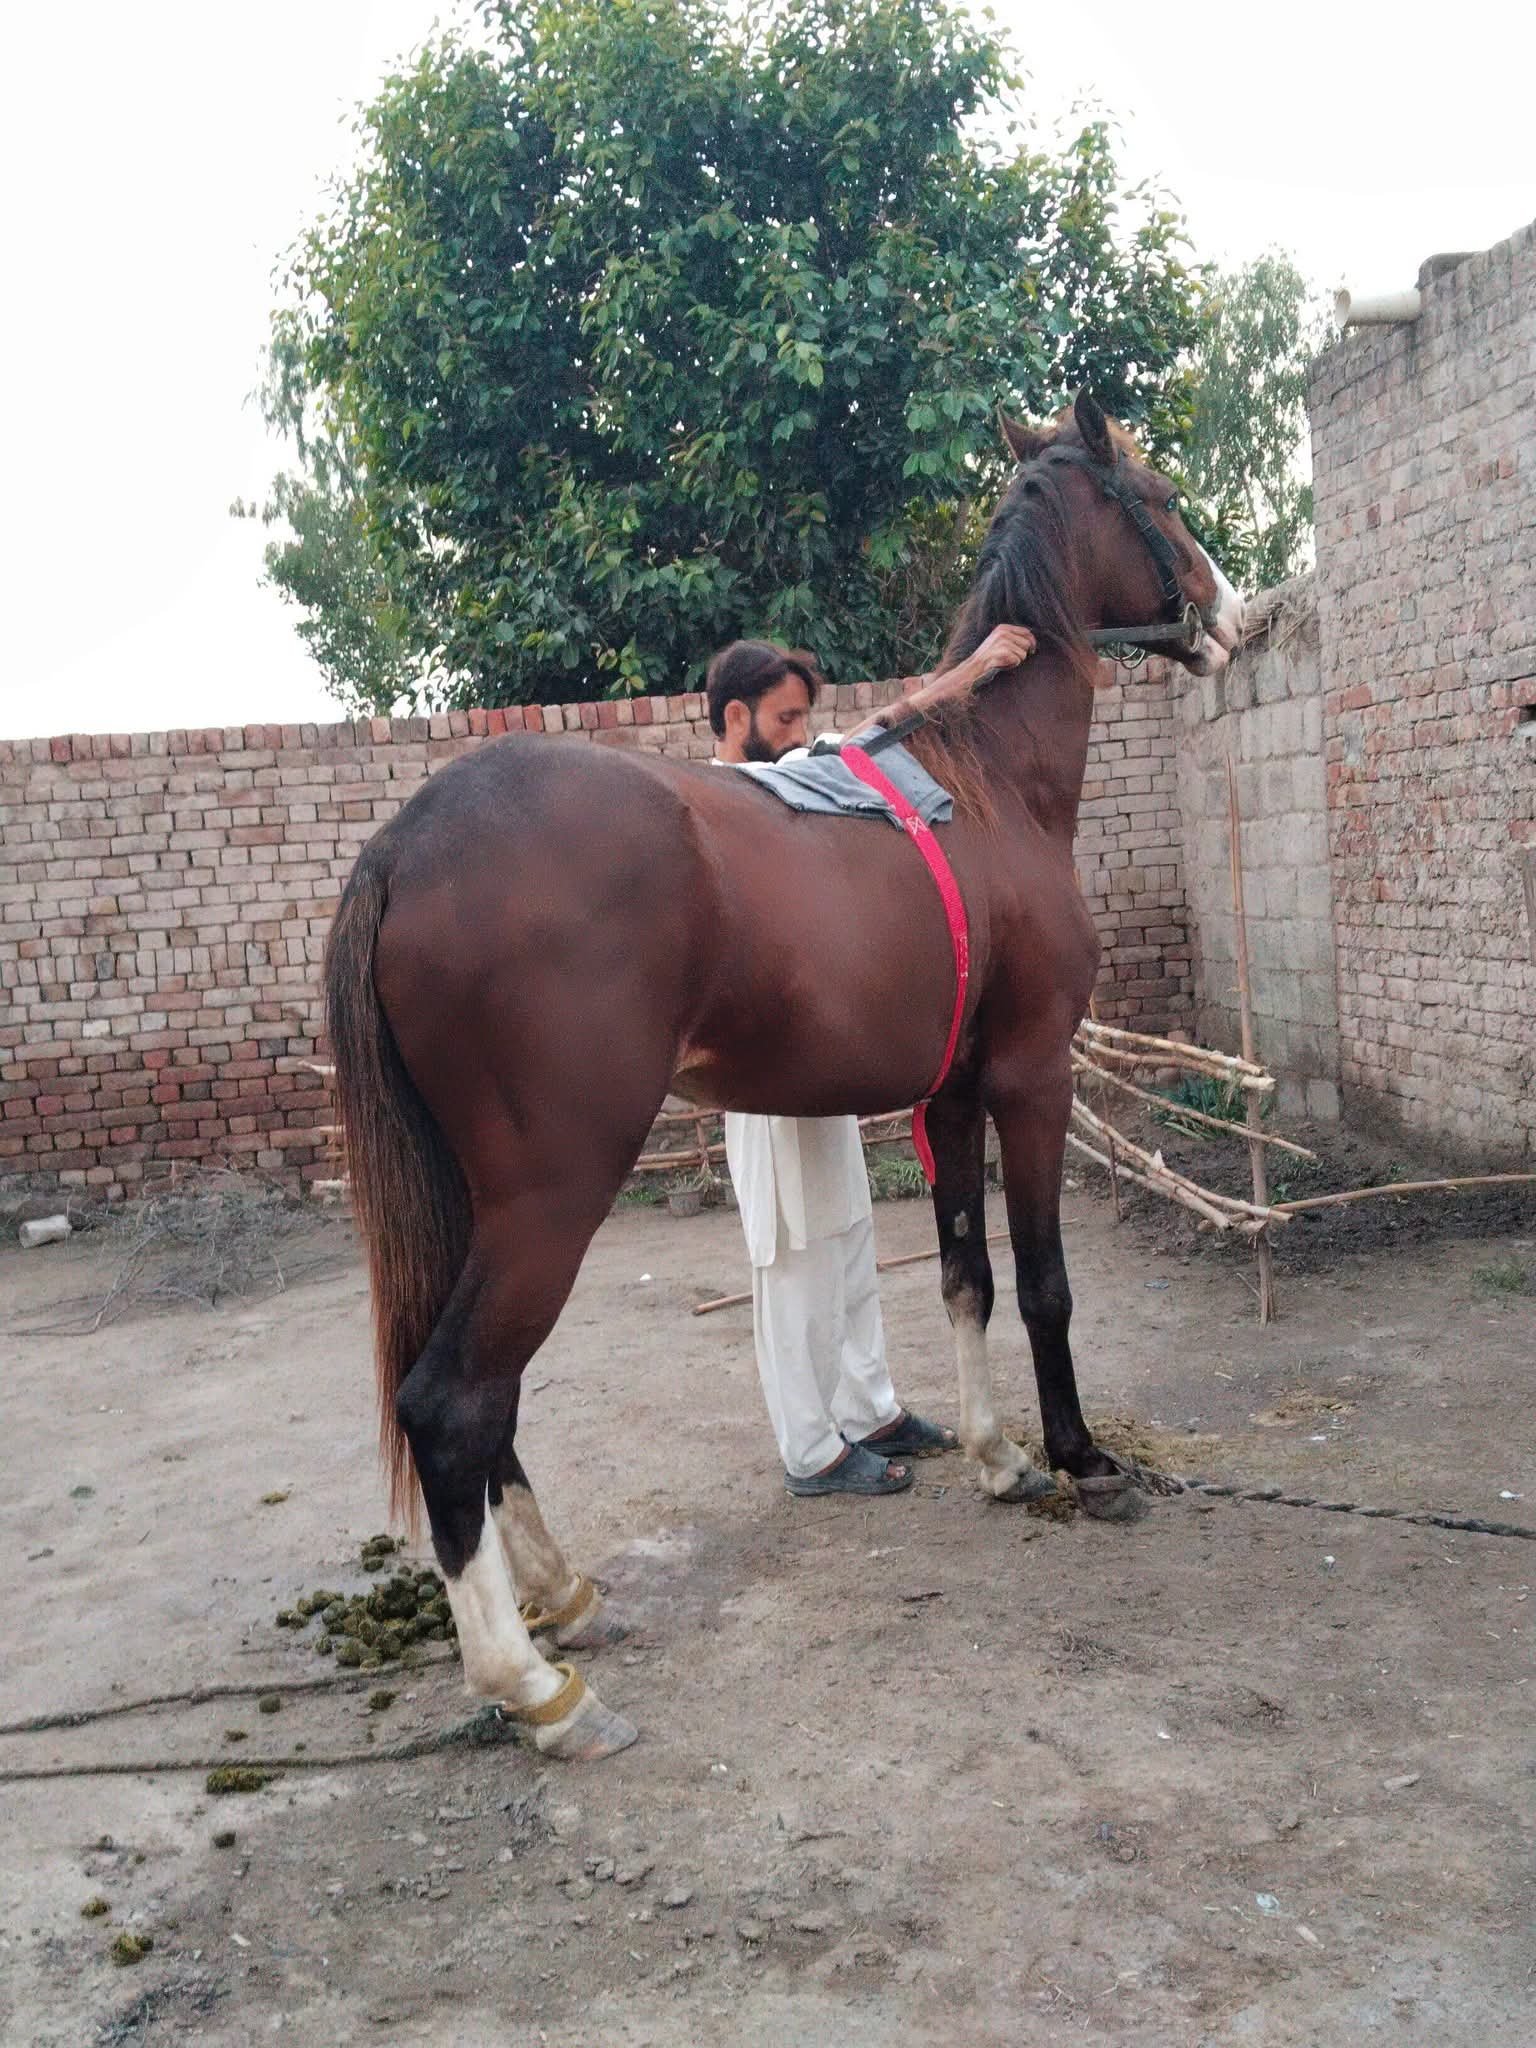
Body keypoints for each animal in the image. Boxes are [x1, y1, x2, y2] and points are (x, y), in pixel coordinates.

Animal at [324, 390, 1245, 1760]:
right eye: (1166, 496)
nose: (1230, 613)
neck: (988, 788)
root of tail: (406, 836)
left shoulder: (947, 1095)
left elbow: (966, 1276)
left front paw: (997, 1457)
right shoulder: (1032, 1079)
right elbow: (1044, 1284)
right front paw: (1082, 1459)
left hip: (476, 1202)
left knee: (482, 1401)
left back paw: (565, 1593)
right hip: (551, 1194)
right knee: (453, 1399)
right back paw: (534, 1684)